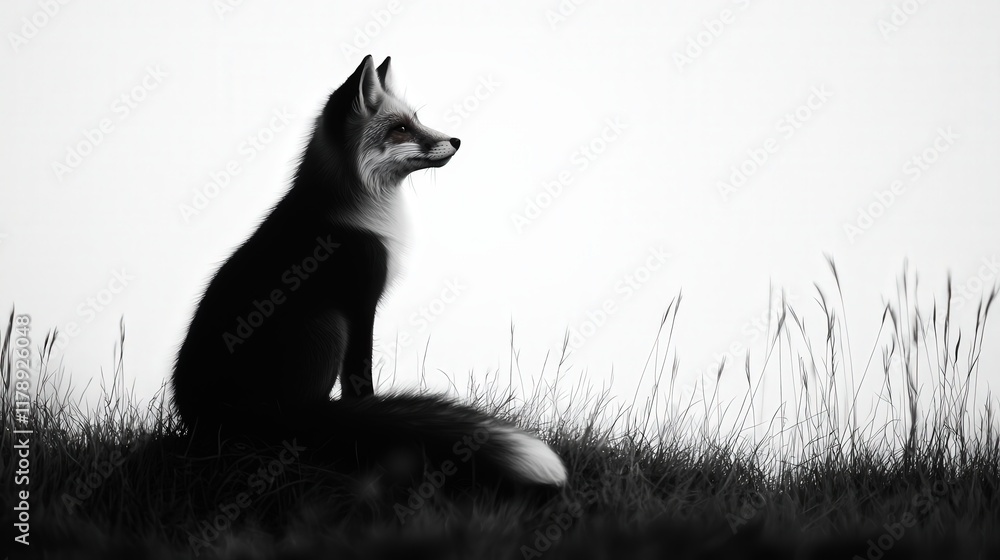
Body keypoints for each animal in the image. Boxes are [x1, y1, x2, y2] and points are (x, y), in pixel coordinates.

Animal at [171, 55, 566, 488]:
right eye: (401, 128)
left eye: (415, 120)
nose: (457, 140)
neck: (359, 215)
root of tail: (206, 415)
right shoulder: (360, 305)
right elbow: (360, 382)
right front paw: (368, 419)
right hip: (327, 325)